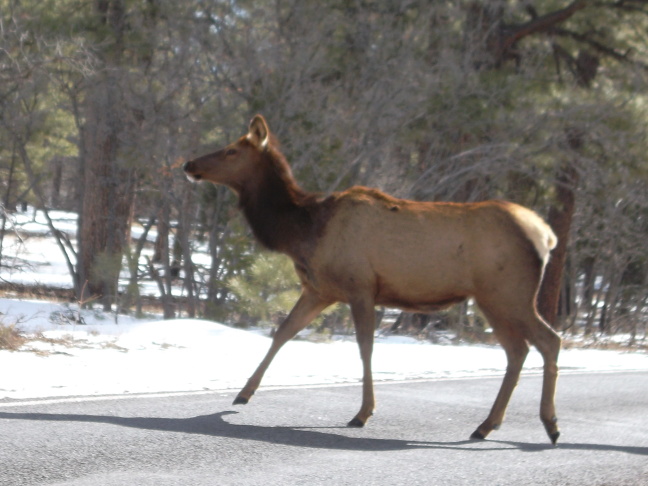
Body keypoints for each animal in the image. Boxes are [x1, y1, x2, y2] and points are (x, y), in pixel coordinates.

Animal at [184, 114, 560, 444]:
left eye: (232, 150)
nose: (189, 164)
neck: (302, 231)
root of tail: (548, 235)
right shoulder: (320, 290)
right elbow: (283, 332)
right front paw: (242, 394)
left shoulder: (360, 286)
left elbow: (365, 347)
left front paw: (363, 413)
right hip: (492, 298)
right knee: (518, 350)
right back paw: (487, 426)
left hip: (509, 293)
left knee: (548, 340)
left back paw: (549, 424)